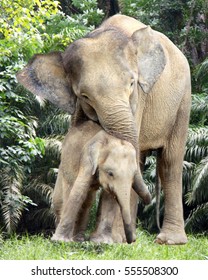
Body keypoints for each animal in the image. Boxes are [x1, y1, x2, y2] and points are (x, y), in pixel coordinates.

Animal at [16, 14, 192, 244]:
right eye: (84, 95)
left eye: (132, 83)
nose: (149, 200)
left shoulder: (139, 99)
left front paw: (102, 241)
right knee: (142, 159)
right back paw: (126, 239)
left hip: (183, 100)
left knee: (170, 161)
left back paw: (169, 241)